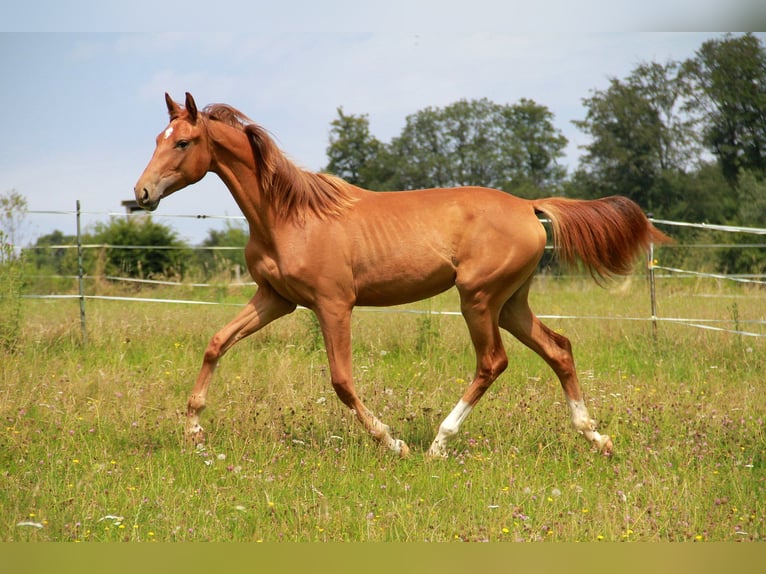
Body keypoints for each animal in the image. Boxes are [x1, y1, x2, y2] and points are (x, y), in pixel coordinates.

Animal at [134, 95, 672, 464]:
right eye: (157, 138)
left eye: (183, 142)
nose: (142, 193)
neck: (289, 216)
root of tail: (528, 206)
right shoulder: (275, 299)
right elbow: (216, 343)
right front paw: (194, 431)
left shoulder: (333, 305)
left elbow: (342, 381)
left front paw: (391, 442)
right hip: (511, 303)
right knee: (559, 348)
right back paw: (596, 436)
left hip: (478, 299)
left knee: (493, 362)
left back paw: (437, 442)